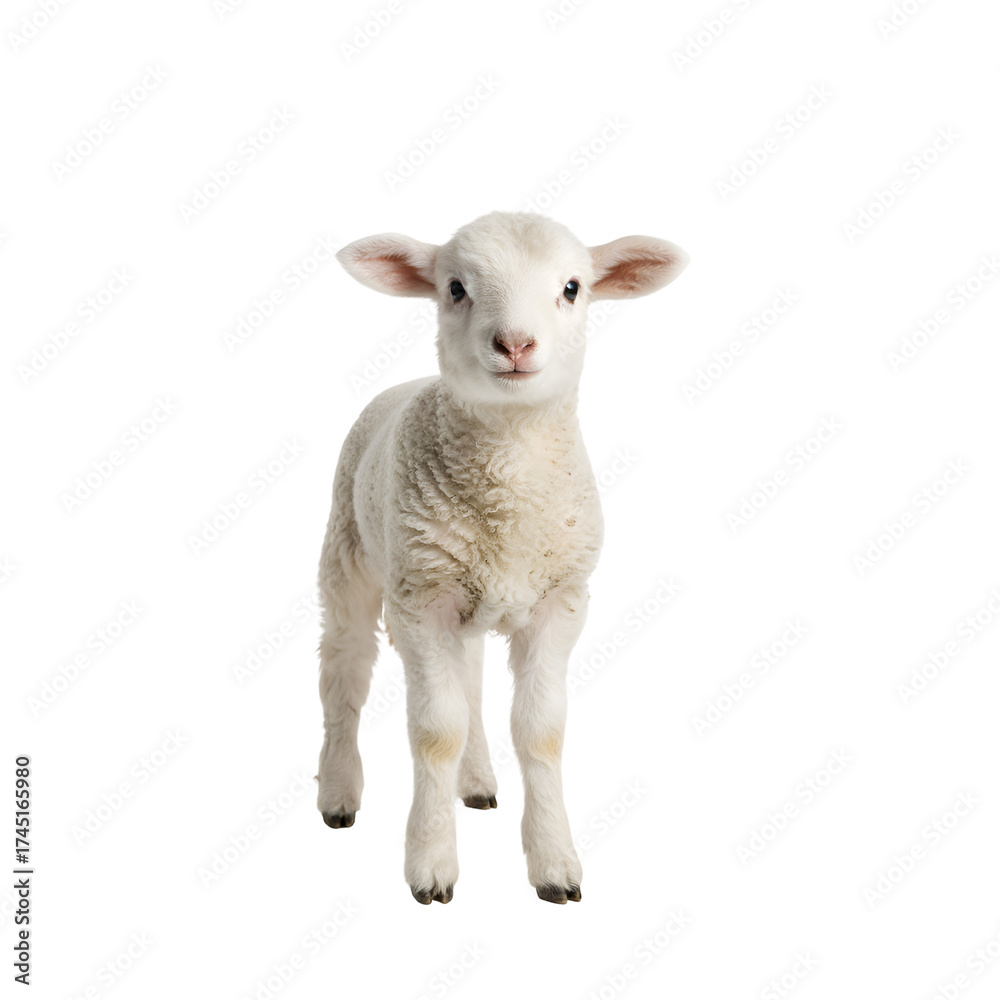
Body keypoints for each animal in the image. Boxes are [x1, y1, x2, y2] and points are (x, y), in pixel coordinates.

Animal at [316, 211, 688, 904]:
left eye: (571, 288)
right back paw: (338, 794)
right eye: (455, 288)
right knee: (343, 675)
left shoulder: (560, 602)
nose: (514, 344)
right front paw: (431, 864)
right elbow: (436, 731)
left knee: (469, 684)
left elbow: (540, 732)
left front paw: (555, 863)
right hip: (349, 557)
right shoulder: (421, 602)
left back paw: (478, 783)